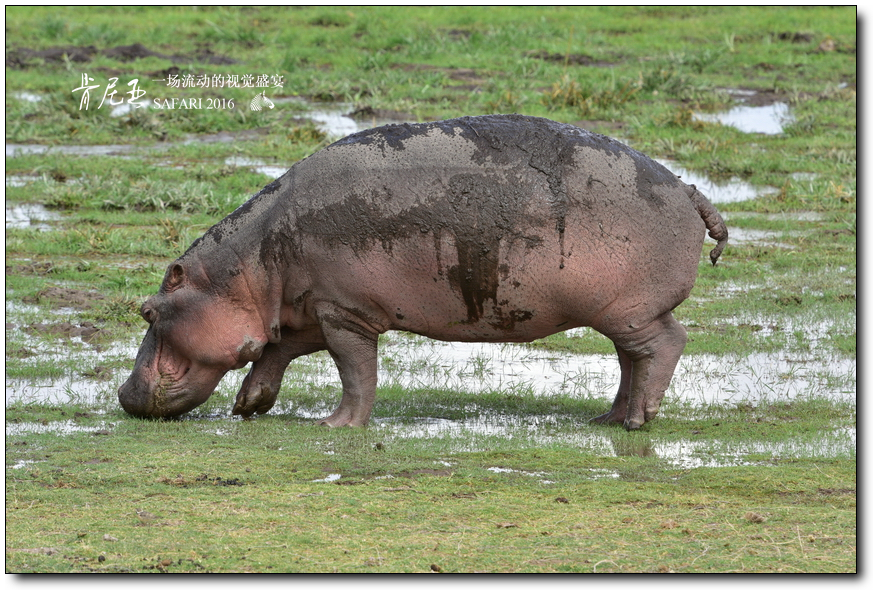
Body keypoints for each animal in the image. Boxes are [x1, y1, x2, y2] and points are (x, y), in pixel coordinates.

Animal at [119, 114, 724, 430]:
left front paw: (336, 426)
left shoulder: (345, 312)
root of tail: (687, 188)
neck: (248, 266)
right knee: (632, 360)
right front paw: (249, 406)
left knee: (666, 344)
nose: (123, 393)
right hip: (621, 313)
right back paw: (609, 419)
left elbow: (354, 371)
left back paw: (638, 421)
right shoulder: (311, 308)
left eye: (147, 310)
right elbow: (277, 351)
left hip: (630, 309)